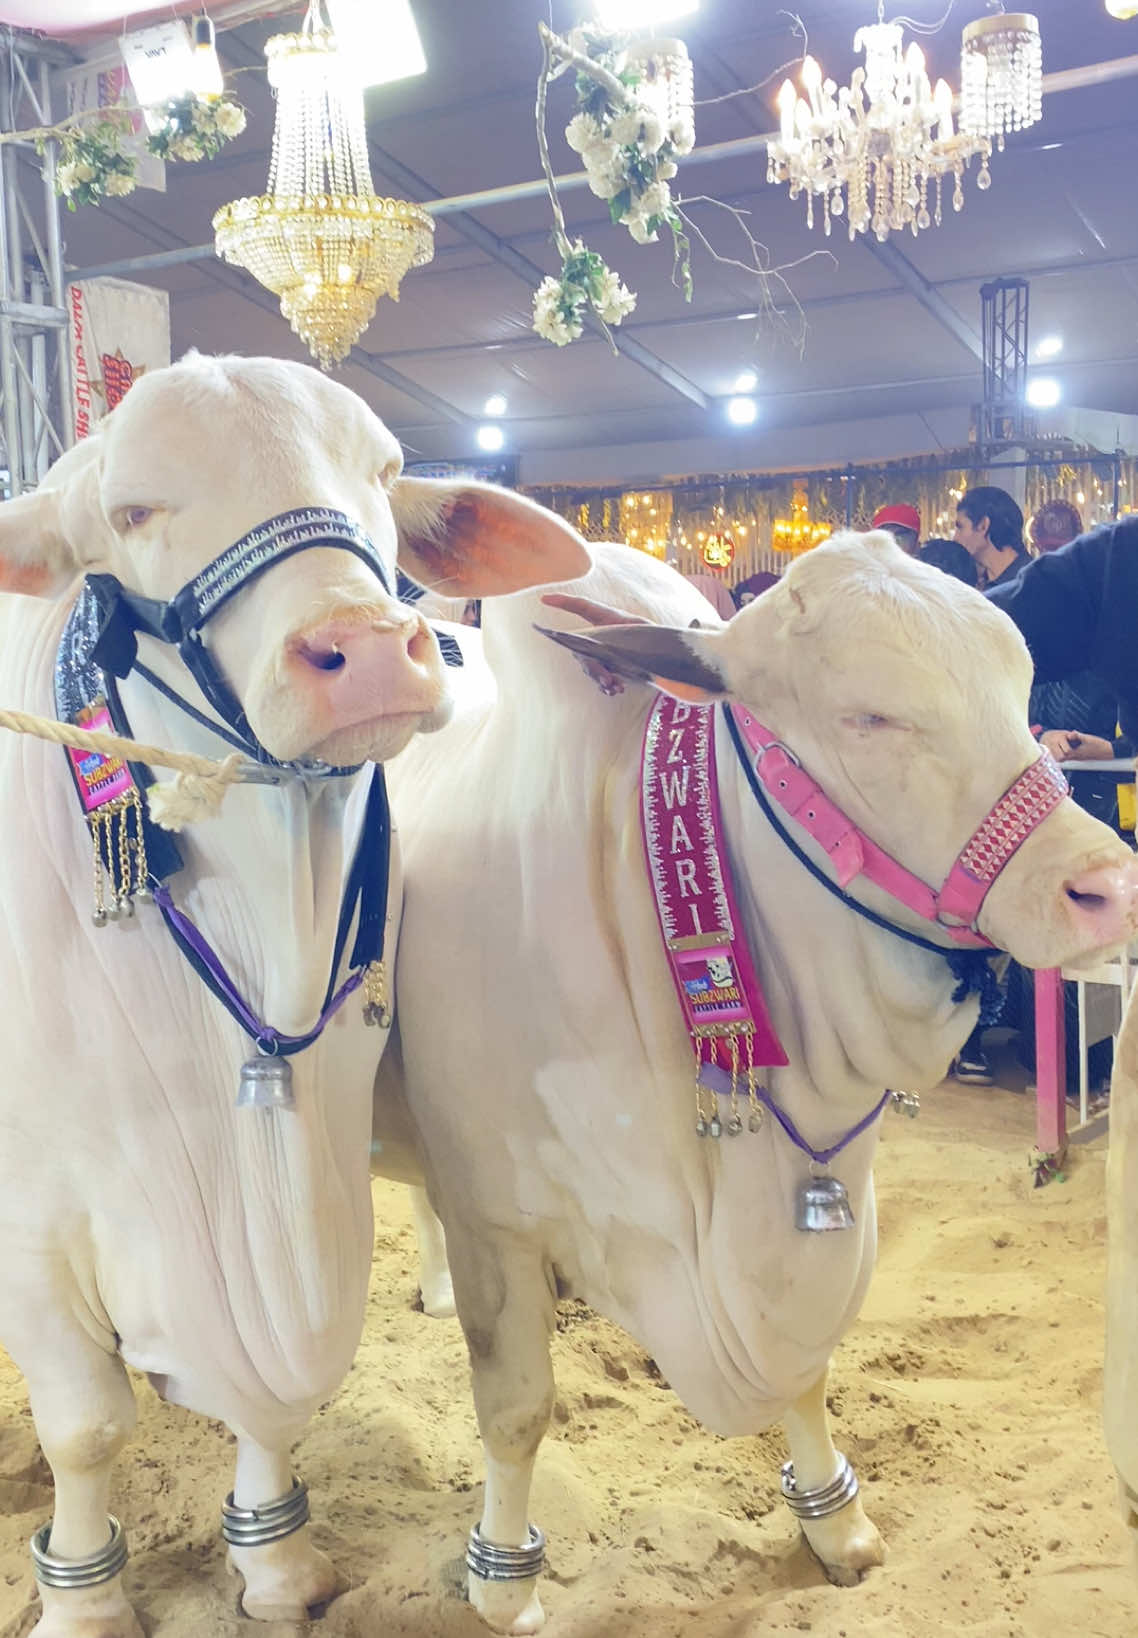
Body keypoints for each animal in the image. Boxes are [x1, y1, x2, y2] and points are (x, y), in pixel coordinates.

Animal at [0, 351, 586, 1638]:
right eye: (133, 511)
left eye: (381, 469)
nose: (365, 651)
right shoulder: (32, 1217)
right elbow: (87, 1425)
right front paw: (83, 1599)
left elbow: (267, 1399)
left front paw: (274, 1562)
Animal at [381, 533, 1138, 1634]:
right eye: (868, 717)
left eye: (1018, 682)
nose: (1106, 888)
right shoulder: (498, 1222)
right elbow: (517, 1408)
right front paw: (503, 1577)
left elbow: (809, 1377)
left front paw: (835, 1523)